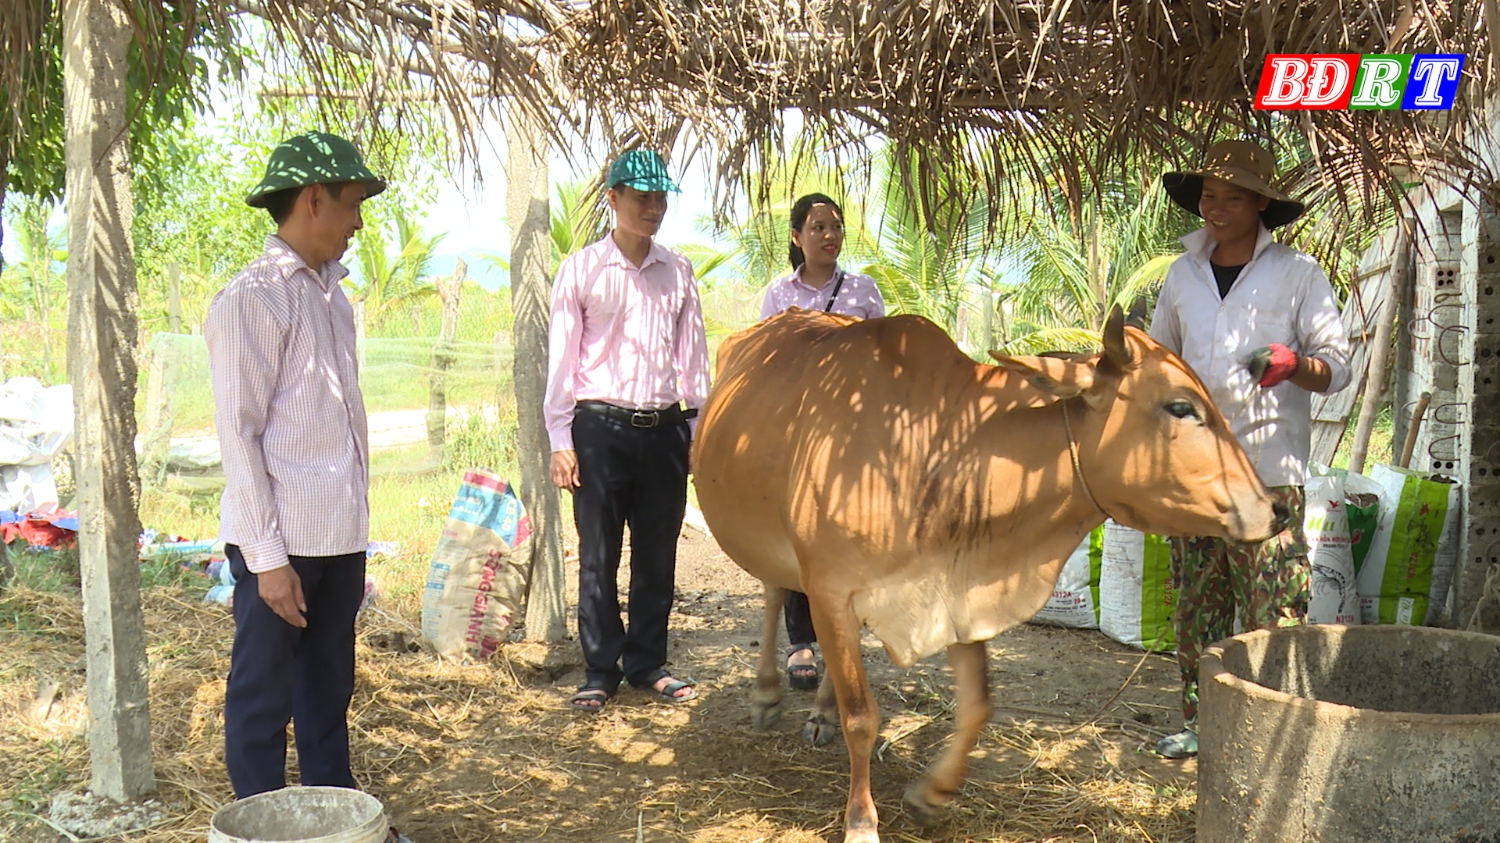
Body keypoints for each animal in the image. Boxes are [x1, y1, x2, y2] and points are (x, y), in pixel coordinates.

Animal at [696, 304, 1284, 834]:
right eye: (1180, 407)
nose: (1275, 507)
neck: (935, 449)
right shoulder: (831, 590)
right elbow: (862, 717)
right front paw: (862, 822)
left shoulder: (957, 590)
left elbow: (977, 705)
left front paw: (932, 794)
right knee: (775, 591)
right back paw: (768, 693)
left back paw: (819, 711)